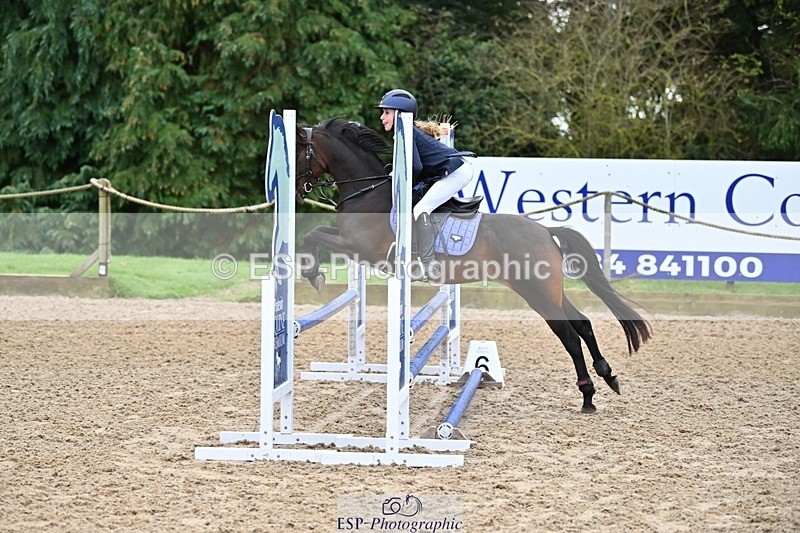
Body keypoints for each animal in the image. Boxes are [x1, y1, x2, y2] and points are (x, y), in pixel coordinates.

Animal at [293, 117, 651, 413]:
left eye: (298, 152)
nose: (297, 192)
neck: (368, 192)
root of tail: (545, 231)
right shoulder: (350, 243)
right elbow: (318, 232)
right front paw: (313, 273)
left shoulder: (360, 248)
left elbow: (313, 235)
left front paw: (313, 274)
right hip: (550, 291)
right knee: (583, 324)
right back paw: (607, 376)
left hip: (537, 294)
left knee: (571, 338)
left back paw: (587, 396)